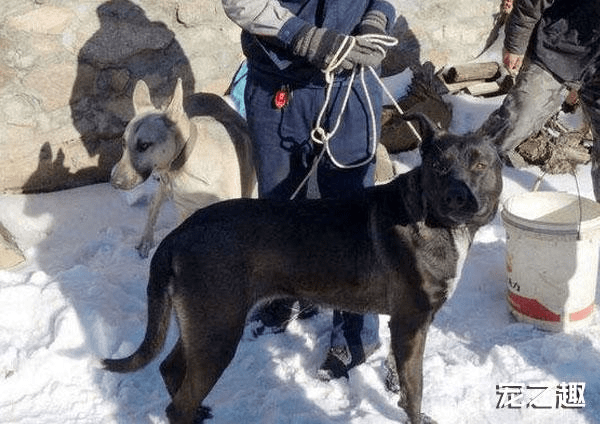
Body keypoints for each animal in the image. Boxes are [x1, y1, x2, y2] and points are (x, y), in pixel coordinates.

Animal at [103, 113, 502, 424]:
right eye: (438, 166)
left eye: (480, 165)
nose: (458, 197)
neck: (430, 215)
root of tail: (178, 234)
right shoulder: (410, 322)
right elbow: (415, 388)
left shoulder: (407, 322)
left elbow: (401, 379)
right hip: (218, 328)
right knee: (178, 404)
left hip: (203, 323)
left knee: (170, 370)